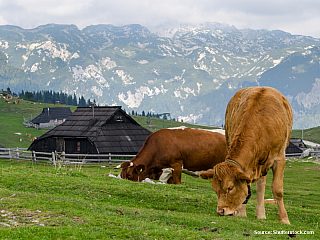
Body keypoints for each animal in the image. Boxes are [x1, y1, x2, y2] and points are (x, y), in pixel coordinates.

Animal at [200, 86, 292, 225]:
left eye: (230, 188)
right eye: (215, 189)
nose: (221, 211)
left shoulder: (279, 158)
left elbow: (277, 189)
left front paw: (284, 219)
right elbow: (246, 186)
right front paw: (241, 213)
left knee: (261, 185)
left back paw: (261, 214)